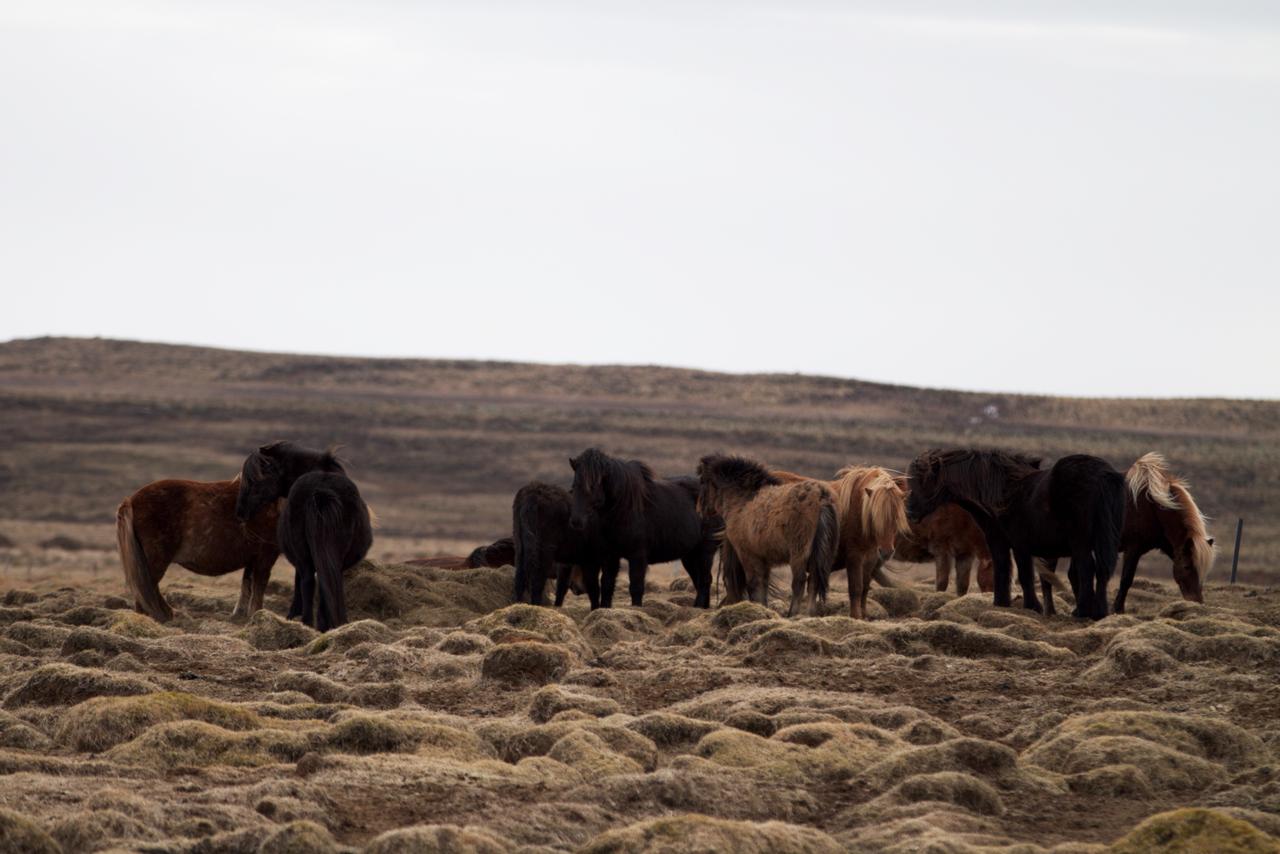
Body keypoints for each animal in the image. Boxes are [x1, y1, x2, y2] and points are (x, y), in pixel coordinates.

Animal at [234, 445, 371, 632]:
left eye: (254, 479)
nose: (240, 511)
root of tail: (321, 492)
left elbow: (299, 580)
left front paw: (295, 614)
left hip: (303, 556)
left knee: (307, 582)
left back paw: (308, 622)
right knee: (323, 582)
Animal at [568, 448, 721, 606]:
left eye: (592, 486)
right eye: (573, 488)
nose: (576, 521)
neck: (625, 508)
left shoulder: (638, 556)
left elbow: (636, 587)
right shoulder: (610, 556)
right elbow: (607, 585)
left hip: (706, 551)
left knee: (704, 581)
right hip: (690, 556)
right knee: (699, 581)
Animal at [701, 453, 839, 614]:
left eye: (702, 481)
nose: (700, 509)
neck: (743, 501)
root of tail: (820, 497)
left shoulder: (748, 555)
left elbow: (753, 584)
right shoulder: (764, 559)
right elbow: (763, 584)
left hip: (799, 553)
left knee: (799, 581)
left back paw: (792, 613)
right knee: (814, 580)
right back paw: (809, 613)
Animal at [906, 448, 1126, 622]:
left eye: (923, 481)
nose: (909, 512)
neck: (1002, 493)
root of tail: (1103, 474)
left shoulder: (1006, 543)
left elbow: (1013, 573)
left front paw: (1013, 604)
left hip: (1080, 543)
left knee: (1087, 570)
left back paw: (1082, 612)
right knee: (1102, 571)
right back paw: (1099, 613)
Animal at [1034, 453, 1213, 614]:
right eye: (1187, 566)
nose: (1196, 603)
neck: (1152, 507)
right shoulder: (1133, 548)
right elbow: (1126, 579)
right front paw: (1118, 609)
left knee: (1073, 574)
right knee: (1048, 573)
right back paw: (1050, 611)